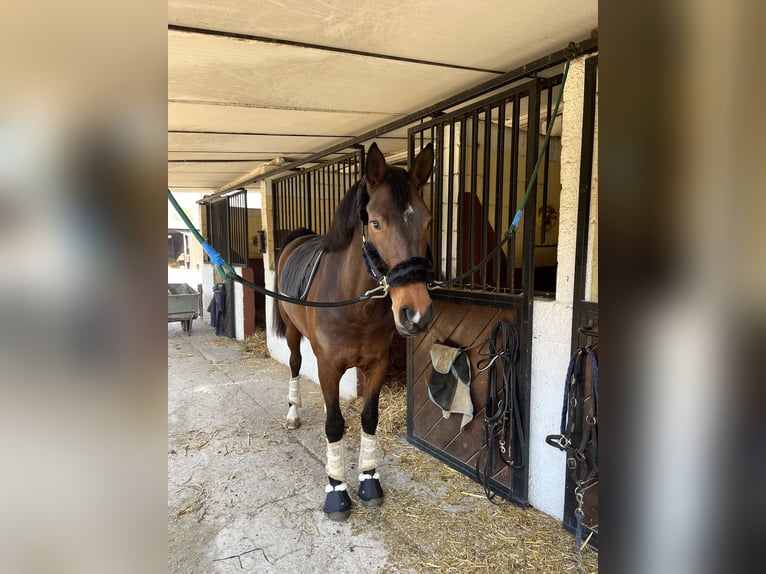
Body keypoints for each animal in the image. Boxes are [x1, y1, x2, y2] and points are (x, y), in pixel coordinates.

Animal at [272, 143, 436, 520]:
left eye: (427, 221)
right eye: (375, 222)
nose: (416, 314)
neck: (353, 304)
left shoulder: (376, 366)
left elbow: (369, 418)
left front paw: (369, 480)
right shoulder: (329, 367)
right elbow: (334, 425)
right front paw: (336, 490)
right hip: (293, 335)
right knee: (294, 365)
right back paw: (292, 413)